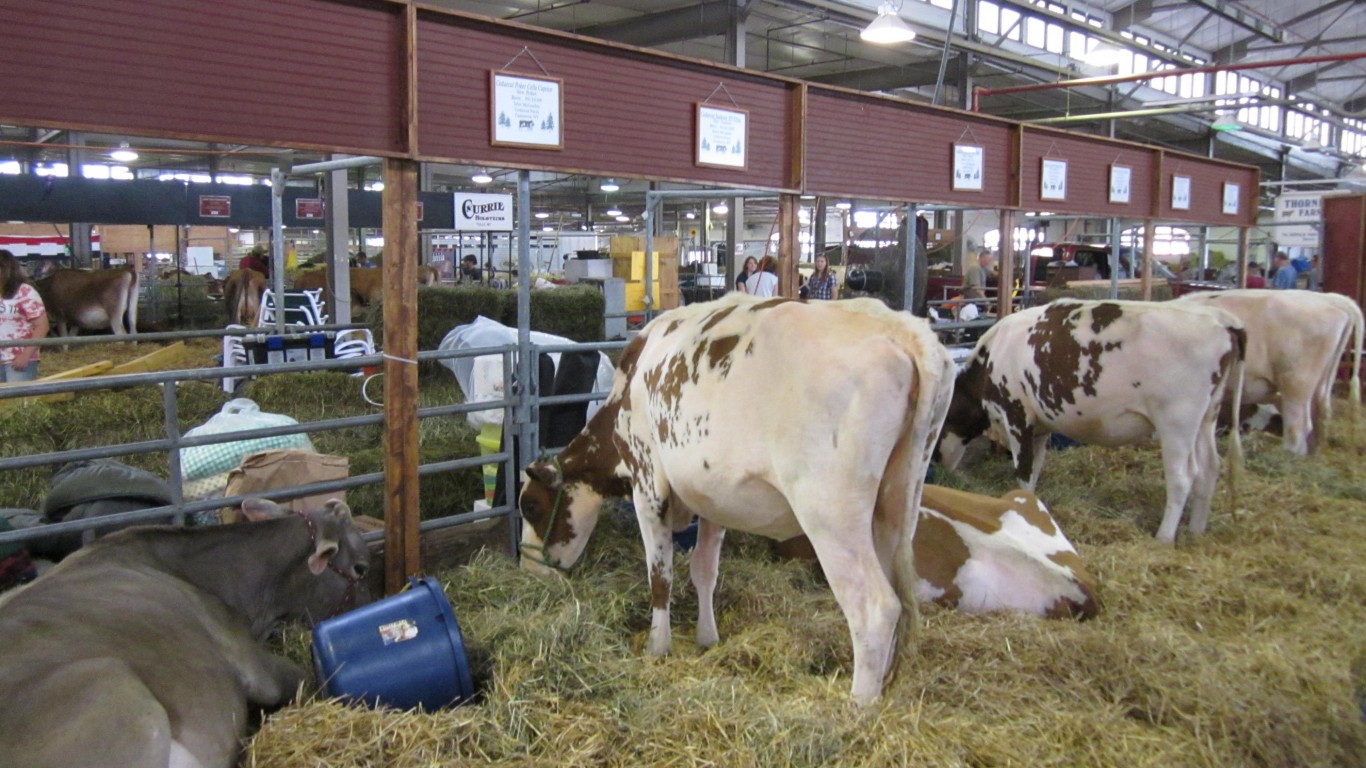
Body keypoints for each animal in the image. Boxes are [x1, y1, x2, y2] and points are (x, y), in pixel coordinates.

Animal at [516, 292, 956, 705]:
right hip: (896, 506)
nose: (529, 568)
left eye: (530, 506)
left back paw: (860, 706)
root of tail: (903, 329)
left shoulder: (647, 481)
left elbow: (660, 574)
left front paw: (659, 646)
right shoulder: (714, 498)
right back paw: (883, 685)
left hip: (830, 513)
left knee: (875, 607)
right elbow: (704, 570)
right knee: (900, 594)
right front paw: (706, 637)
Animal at [939, 296, 1251, 541]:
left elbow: (1024, 470)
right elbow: (1036, 468)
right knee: (1210, 467)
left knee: (1182, 477)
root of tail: (1221, 319)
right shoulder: (1040, 425)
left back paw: (1164, 537)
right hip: (1207, 417)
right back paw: (1196, 532)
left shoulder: (1017, 414)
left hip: (1177, 421)